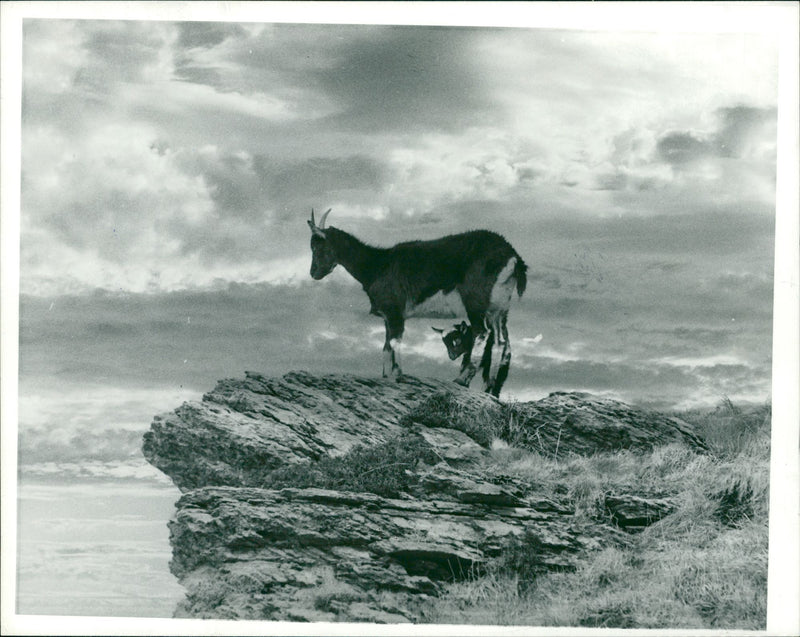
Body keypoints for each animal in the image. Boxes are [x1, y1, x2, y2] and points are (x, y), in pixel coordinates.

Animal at [310, 209, 528, 396]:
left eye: (318, 246)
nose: (313, 273)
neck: (377, 265)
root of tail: (514, 257)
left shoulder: (395, 312)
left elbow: (395, 342)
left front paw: (398, 375)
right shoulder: (388, 317)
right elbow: (386, 346)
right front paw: (386, 376)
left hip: (476, 302)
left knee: (482, 333)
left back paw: (461, 379)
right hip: (499, 309)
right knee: (501, 343)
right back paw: (488, 389)